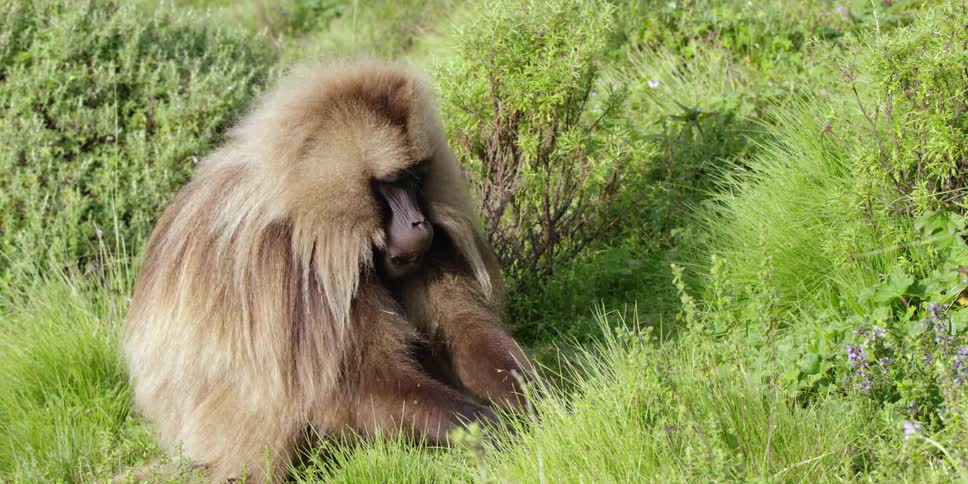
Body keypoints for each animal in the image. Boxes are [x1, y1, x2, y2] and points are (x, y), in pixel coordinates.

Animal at [122, 61, 533, 482]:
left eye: (417, 178)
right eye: (391, 185)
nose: (419, 223)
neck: (308, 208)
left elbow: (460, 334)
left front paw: (540, 399)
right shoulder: (293, 269)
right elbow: (359, 387)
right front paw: (492, 429)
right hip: (208, 430)